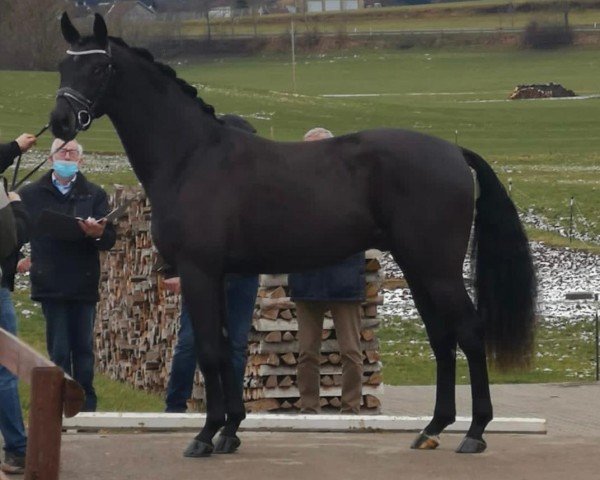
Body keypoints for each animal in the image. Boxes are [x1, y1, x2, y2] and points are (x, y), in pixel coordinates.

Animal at [50, 13, 536, 458]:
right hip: (419, 269)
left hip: (437, 270)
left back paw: (475, 432)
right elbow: (226, 348)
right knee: (442, 338)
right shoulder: (220, 276)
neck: (191, 156)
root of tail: (453, 151)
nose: (60, 122)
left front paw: (205, 436)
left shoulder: (198, 271)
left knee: (469, 332)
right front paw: (230, 431)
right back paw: (433, 428)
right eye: (63, 65)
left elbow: (209, 351)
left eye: (98, 67)